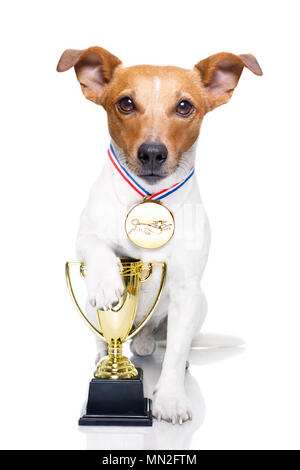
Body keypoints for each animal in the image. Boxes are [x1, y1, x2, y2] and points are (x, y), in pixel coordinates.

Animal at [56, 46, 262, 422]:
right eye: (125, 103)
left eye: (184, 107)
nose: (152, 152)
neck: (149, 199)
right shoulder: (85, 239)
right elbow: (96, 247)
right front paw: (106, 282)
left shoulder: (186, 290)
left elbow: (177, 351)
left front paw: (170, 399)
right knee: (105, 338)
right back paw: (106, 352)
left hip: (200, 305)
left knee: (170, 343)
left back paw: (153, 346)